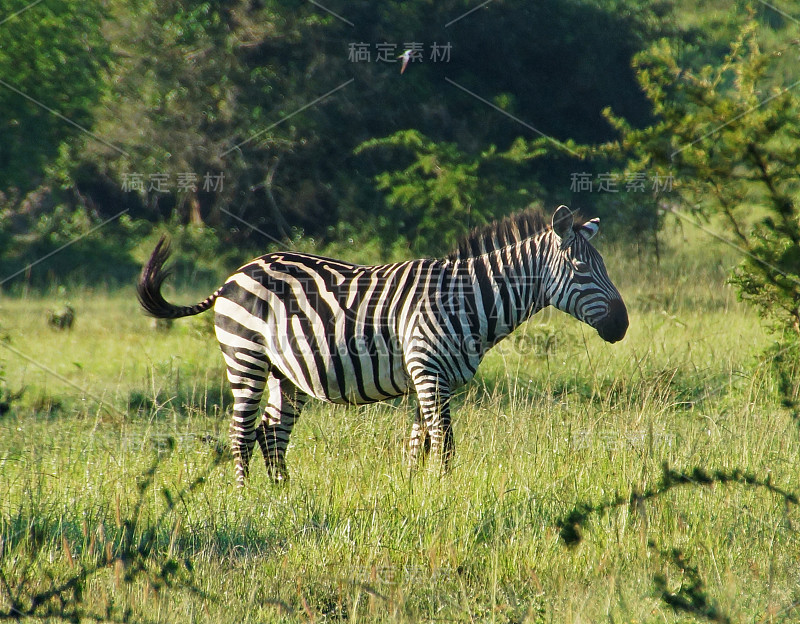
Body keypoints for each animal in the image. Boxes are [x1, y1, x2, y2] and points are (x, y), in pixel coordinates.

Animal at [136, 207, 624, 486]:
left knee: (271, 433)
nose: (622, 325)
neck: (469, 297)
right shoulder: (428, 370)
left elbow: (418, 443)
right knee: (241, 434)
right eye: (581, 267)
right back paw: (244, 500)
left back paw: (283, 499)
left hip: (283, 372)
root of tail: (233, 276)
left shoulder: (429, 377)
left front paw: (414, 493)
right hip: (246, 358)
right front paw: (445, 492)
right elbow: (444, 442)